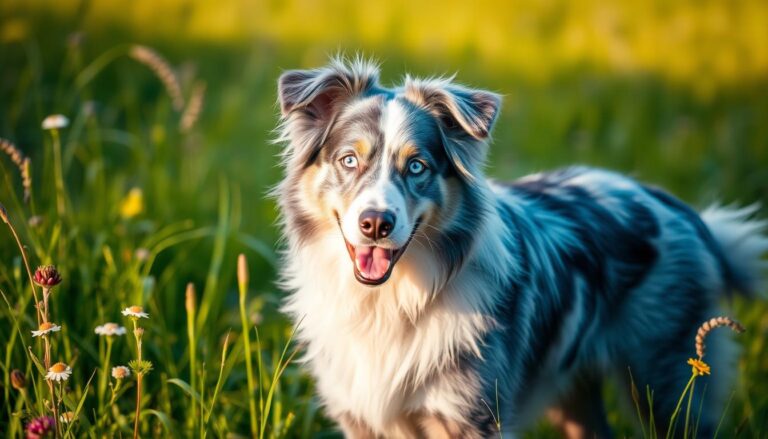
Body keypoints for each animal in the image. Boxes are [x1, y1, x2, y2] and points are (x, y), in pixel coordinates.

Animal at [272, 56, 764, 438]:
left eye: (417, 167)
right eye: (348, 160)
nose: (376, 224)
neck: (389, 302)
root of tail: (680, 209)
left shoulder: (472, 416)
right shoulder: (360, 417)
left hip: (667, 386)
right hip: (576, 392)